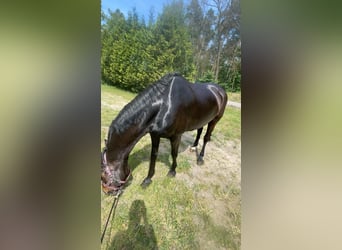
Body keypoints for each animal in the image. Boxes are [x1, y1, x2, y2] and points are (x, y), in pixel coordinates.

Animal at [101, 73, 230, 195]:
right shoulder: (155, 135)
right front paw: (148, 179)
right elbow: (153, 155)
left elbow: (174, 153)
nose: (106, 191)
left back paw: (200, 158)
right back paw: (193, 147)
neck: (165, 104)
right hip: (202, 119)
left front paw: (172, 171)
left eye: (103, 175)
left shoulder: (176, 135)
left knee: (206, 138)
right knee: (199, 130)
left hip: (215, 120)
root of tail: (220, 90)